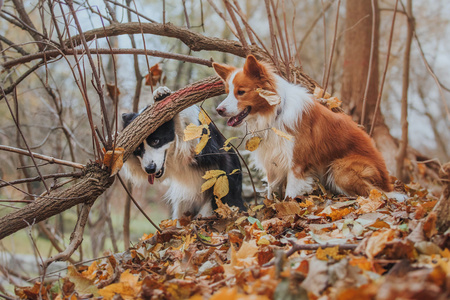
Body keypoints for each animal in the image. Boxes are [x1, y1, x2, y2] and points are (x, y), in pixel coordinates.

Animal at [121, 85, 244, 219]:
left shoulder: (203, 145)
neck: (174, 149)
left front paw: (161, 94)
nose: (150, 169)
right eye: (137, 149)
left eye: (155, 141)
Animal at [213, 55, 392, 199]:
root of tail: (387, 180)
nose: (218, 110)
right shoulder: (273, 161)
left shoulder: (296, 164)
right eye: (228, 92)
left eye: (241, 92)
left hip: (339, 169)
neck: (275, 114)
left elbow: (289, 195)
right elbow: (271, 192)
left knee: (378, 193)